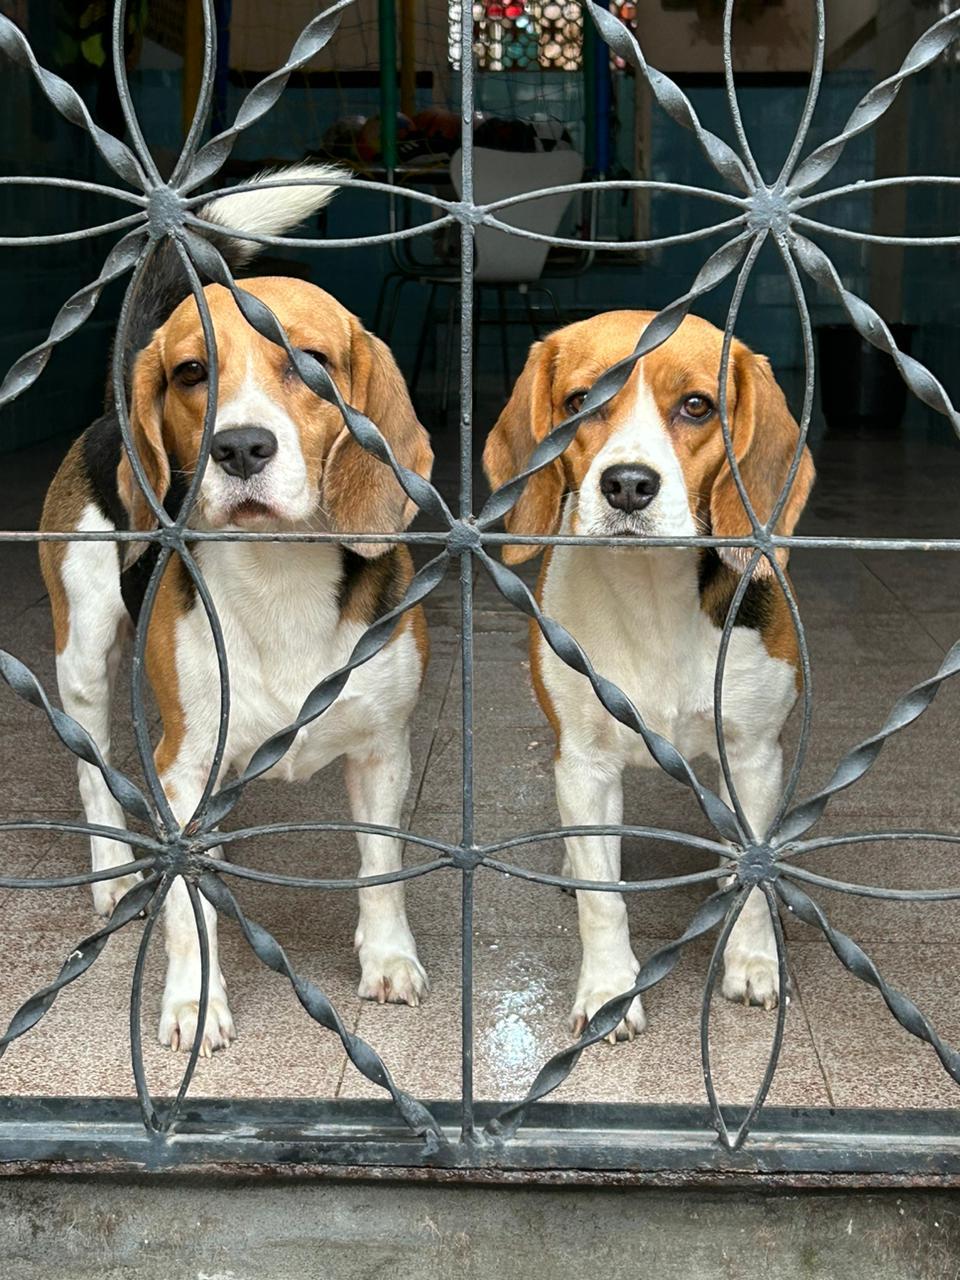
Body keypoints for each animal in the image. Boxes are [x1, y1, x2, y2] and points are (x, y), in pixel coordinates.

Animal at [39, 165, 435, 1054]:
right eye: (192, 374)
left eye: (313, 364)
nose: (242, 447)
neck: (279, 574)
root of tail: (107, 417)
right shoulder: (183, 766)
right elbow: (188, 911)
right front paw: (193, 1001)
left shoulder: (383, 749)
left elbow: (382, 872)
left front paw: (388, 960)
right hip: (82, 656)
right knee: (90, 771)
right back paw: (112, 883)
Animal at [483, 309, 814, 1039]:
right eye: (581, 402)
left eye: (696, 406)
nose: (628, 485)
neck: (653, 593)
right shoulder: (584, 763)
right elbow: (603, 902)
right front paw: (610, 991)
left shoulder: (754, 750)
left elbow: (756, 870)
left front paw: (753, 961)